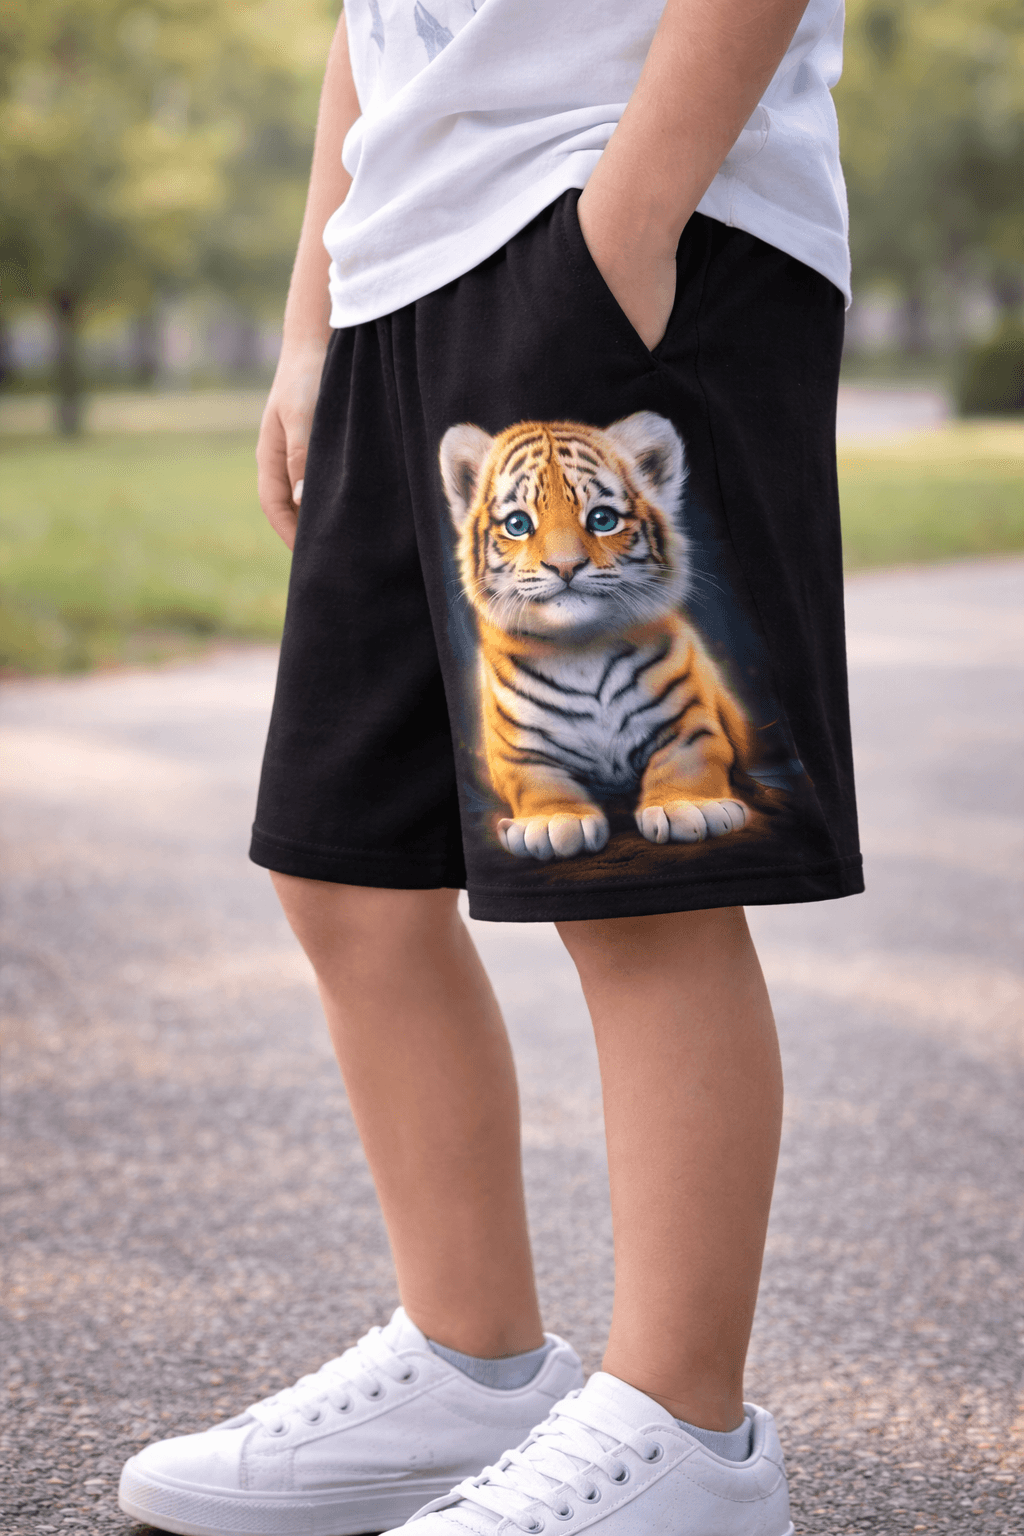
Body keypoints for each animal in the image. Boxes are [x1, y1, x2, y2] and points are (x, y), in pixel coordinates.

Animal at [439, 412, 752, 861]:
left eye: (602, 519)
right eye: (518, 524)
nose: (565, 566)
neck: (581, 649)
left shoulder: (692, 721)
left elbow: (689, 759)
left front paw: (688, 806)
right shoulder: (517, 751)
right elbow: (538, 781)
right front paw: (555, 820)